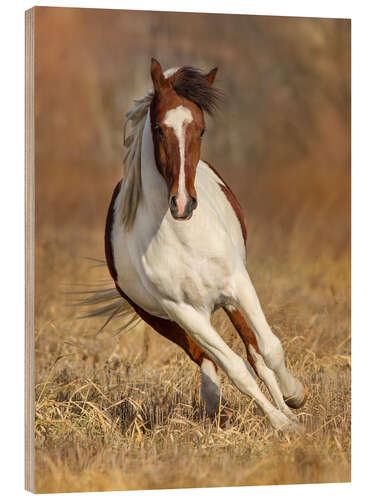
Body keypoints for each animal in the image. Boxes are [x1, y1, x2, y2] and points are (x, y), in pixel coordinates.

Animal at [81, 60, 306, 432]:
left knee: (255, 352)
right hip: (164, 319)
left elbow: (270, 349)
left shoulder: (239, 284)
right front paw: (281, 423)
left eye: (201, 130)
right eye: (159, 129)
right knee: (210, 359)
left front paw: (295, 400)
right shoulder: (182, 311)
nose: (183, 203)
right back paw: (216, 401)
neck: (184, 237)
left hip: (228, 301)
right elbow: (235, 369)